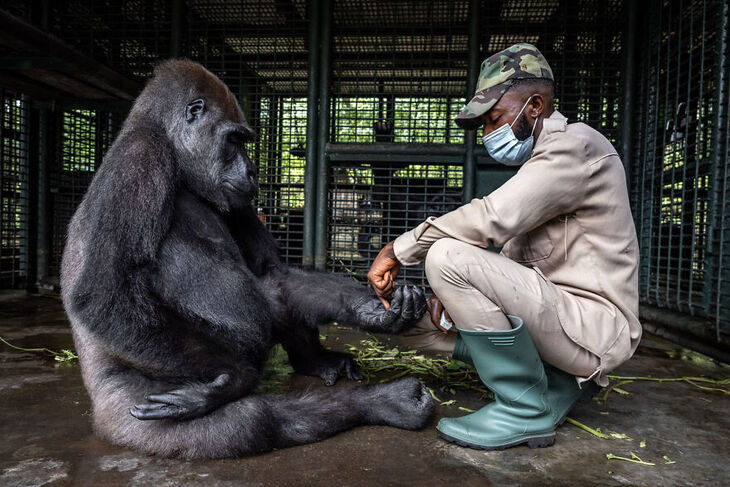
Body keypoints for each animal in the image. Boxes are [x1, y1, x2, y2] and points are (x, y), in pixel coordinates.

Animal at [61, 59, 432, 460]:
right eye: (233, 140)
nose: (253, 171)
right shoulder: (141, 157)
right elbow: (104, 293)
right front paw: (231, 378)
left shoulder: (233, 196)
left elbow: (273, 272)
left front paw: (378, 311)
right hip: (123, 414)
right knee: (251, 420)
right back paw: (382, 401)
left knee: (275, 294)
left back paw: (326, 368)